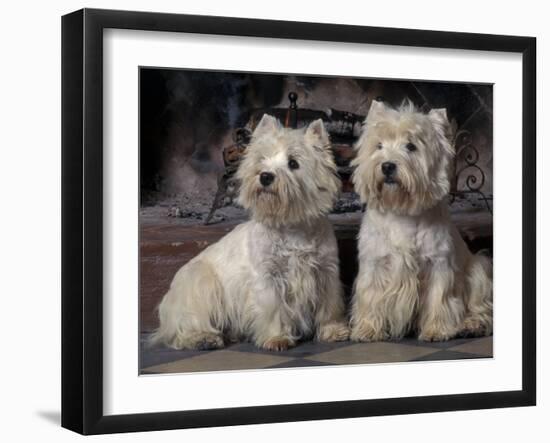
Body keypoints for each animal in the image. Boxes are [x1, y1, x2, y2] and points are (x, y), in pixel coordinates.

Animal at [151, 116, 350, 352]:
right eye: (262, 159)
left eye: (293, 163)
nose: (265, 176)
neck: (290, 225)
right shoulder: (268, 278)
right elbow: (273, 308)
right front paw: (276, 338)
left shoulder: (326, 272)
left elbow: (330, 306)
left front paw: (333, 330)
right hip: (200, 285)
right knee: (183, 328)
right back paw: (204, 338)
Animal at [352, 101, 494, 344]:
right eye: (379, 145)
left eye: (411, 146)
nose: (387, 166)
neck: (402, 210)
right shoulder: (375, 263)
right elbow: (370, 295)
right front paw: (367, 330)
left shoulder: (437, 263)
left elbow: (439, 297)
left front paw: (437, 330)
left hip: (478, 270)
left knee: (482, 307)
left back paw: (471, 325)